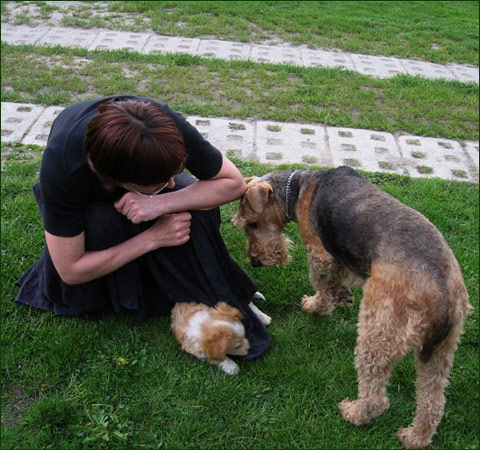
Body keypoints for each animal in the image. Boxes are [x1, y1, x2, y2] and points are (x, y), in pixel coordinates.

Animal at [234, 167, 471, 448]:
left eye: (252, 224)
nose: (255, 262)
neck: (301, 186)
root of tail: (442, 298)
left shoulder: (319, 253)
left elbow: (321, 283)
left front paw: (316, 306)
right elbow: (335, 282)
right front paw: (340, 296)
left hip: (376, 337)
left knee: (377, 398)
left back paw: (353, 412)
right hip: (439, 353)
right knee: (432, 403)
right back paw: (414, 437)